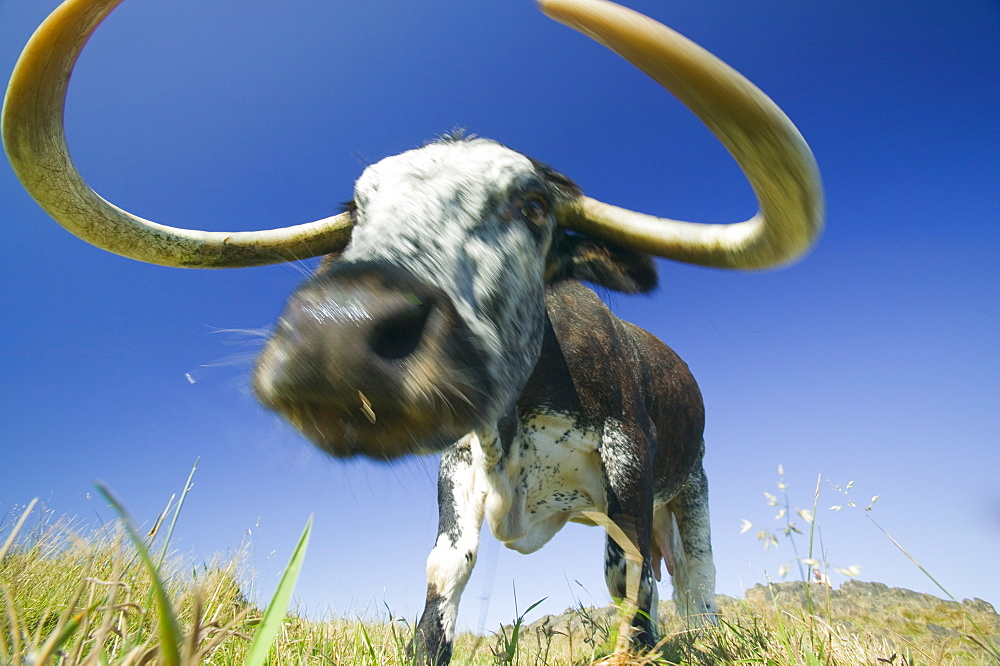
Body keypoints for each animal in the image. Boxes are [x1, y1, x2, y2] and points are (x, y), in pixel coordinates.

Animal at [1, 0, 820, 660]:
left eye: (531, 205)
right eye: (357, 211)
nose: (337, 333)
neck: (518, 422)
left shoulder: (629, 460)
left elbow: (630, 579)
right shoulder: (457, 466)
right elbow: (443, 575)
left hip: (691, 483)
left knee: (695, 582)